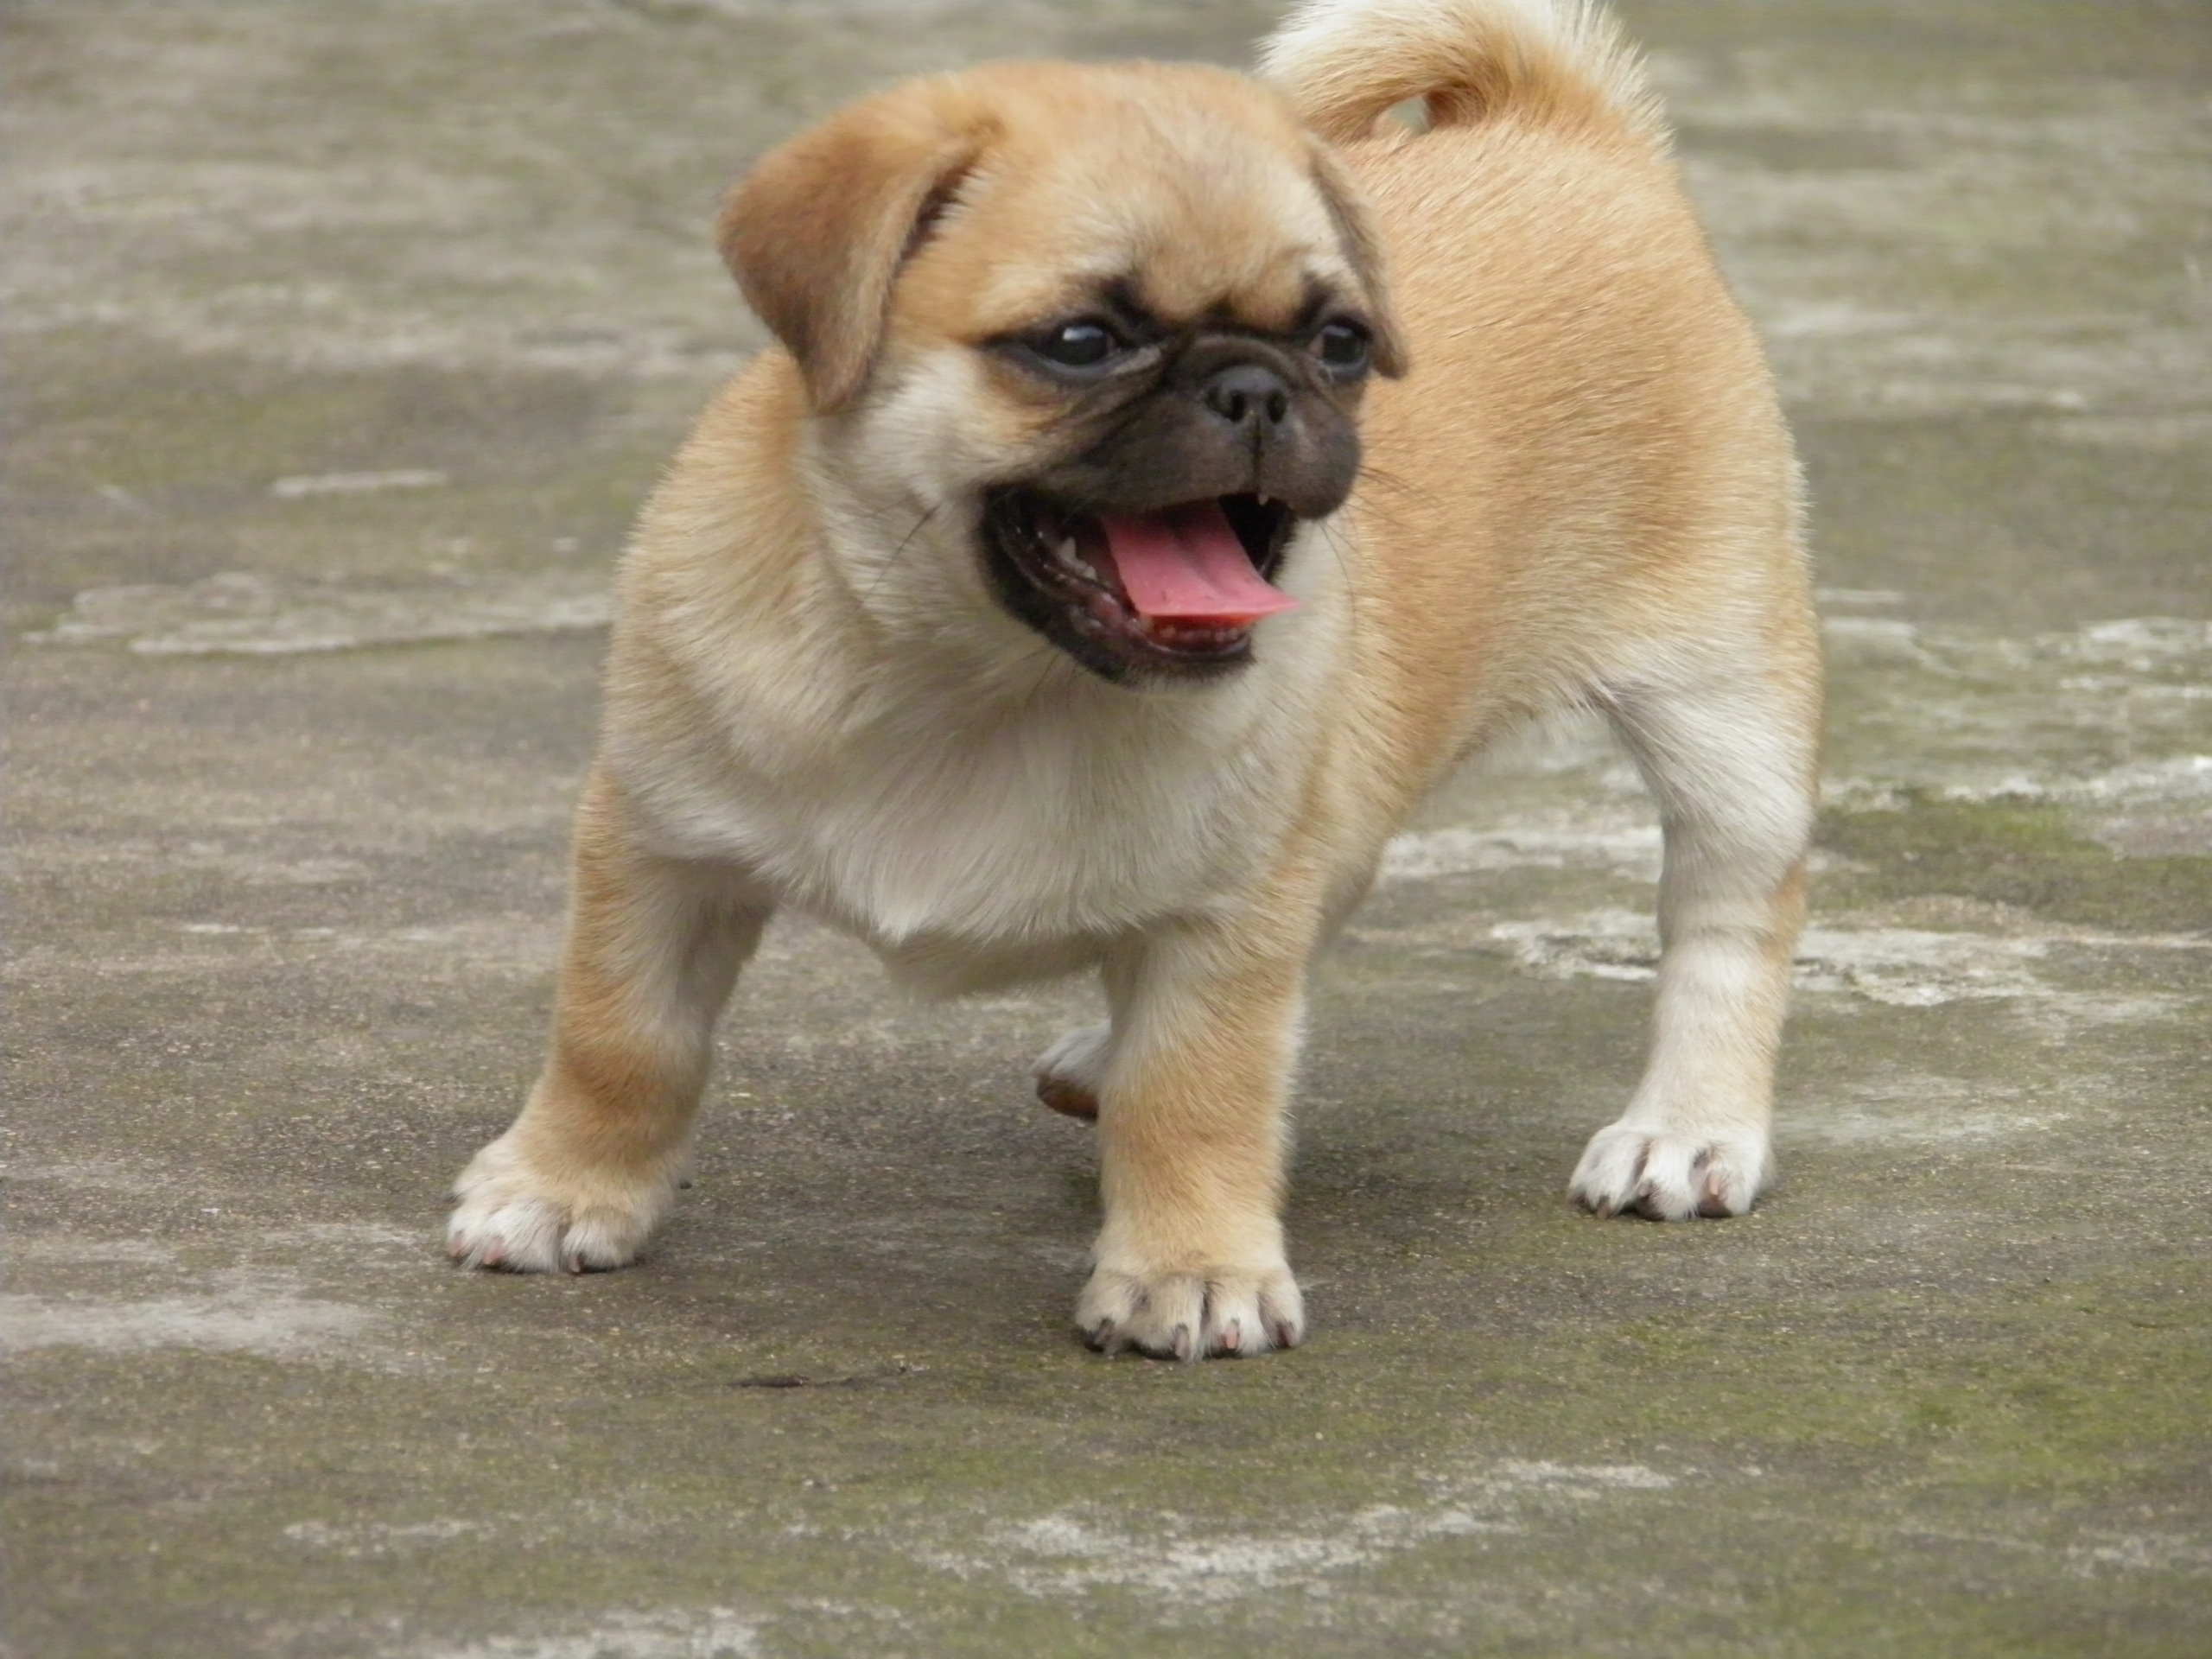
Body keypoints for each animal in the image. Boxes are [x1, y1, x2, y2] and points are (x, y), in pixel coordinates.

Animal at [444, 0, 1814, 1362]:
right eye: (1081, 344)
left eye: (1340, 344)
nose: (1257, 386)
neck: (976, 681)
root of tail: (1565, 123)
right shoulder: (658, 851)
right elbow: (622, 1041)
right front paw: (563, 1189)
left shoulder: (1224, 917)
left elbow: (1197, 1091)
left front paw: (1190, 1267)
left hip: (1723, 713)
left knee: (1726, 919)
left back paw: (1688, 1130)